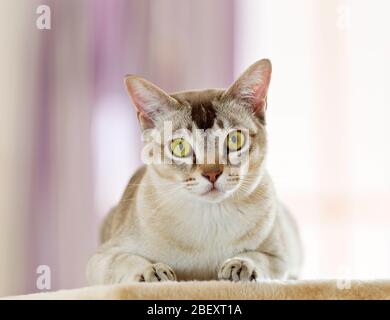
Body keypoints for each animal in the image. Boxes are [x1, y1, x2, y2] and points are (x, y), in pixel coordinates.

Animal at [87, 58, 304, 284]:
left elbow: (259, 257)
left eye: (235, 140)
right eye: (180, 146)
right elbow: (127, 260)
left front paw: (241, 265)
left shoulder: (280, 257)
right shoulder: (101, 258)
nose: (212, 174)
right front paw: (152, 271)